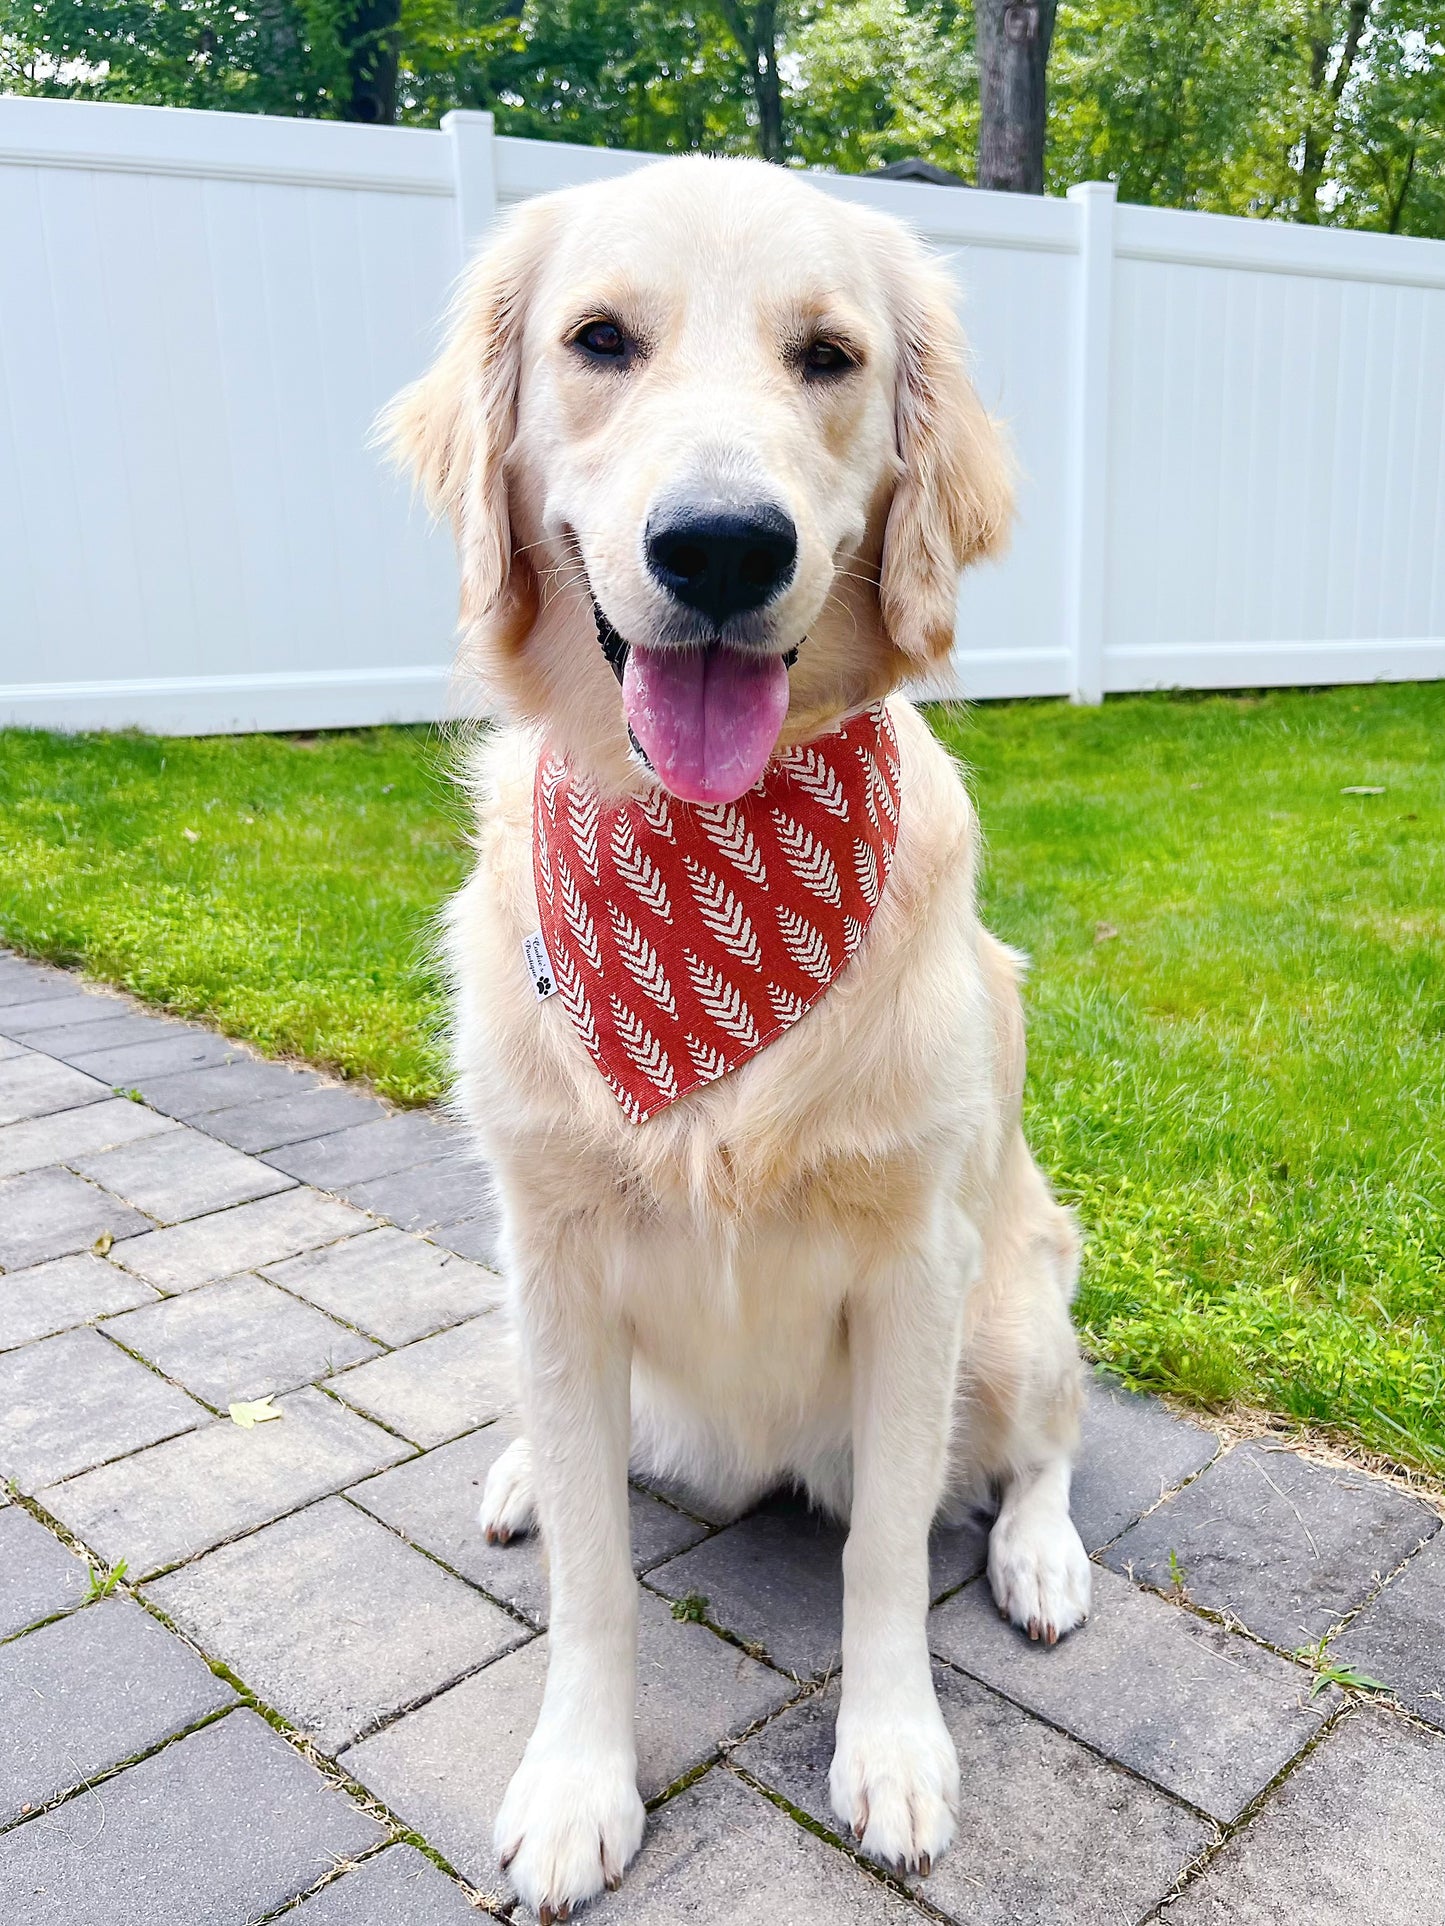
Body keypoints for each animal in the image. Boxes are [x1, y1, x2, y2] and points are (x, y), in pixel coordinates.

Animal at [391, 157, 1094, 1918]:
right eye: (599, 339)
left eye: (829, 357)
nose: (719, 546)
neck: (709, 860)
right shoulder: (555, 1252)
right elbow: (594, 1577)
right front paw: (578, 1780)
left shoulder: (913, 1271)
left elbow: (886, 1552)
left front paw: (894, 1751)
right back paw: (521, 1469)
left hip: (1011, 1306)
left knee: (1045, 1442)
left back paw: (1042, 1554)